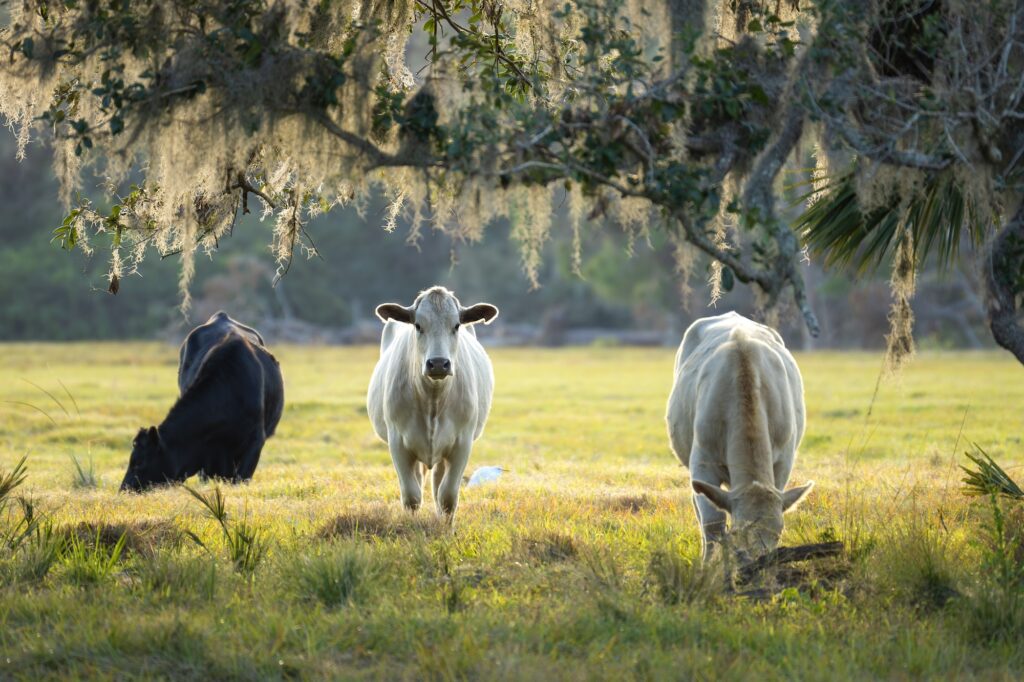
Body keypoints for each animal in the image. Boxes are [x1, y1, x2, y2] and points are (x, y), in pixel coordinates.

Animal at [368, 284, 499, 518]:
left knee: (438, 483)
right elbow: (411, 496)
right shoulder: (397, 442)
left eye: (456, 325)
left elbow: (447, 496)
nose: (438, 363)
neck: (433, 399)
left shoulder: (462, 442)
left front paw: (445, 525)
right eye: (418, 325)